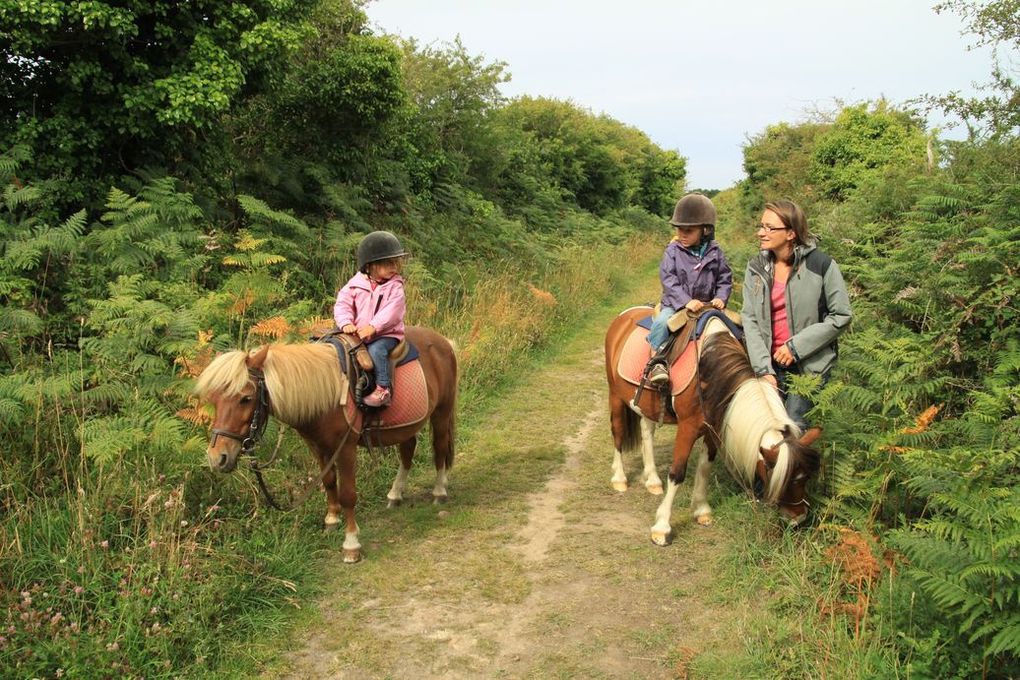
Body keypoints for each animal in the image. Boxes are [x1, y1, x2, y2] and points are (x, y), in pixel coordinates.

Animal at [194, 326, 459, 562]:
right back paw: (395, 494)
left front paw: (351, 544)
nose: (217, 457)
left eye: (245, 398)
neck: (327, 395)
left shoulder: (346, 449)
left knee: (440, 448)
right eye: (214, 399)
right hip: (406, 426)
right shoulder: (318, 447)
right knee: (408, 450)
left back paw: (440, 491)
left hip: (442, 412)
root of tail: (443, 342)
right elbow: (329, 481)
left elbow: (348, 494)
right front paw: (331, 520)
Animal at [603, 305, 820, 546]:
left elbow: (704, 468)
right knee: (618, 433)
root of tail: (625, 315)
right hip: (615, 396)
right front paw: (662, 528)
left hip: (646, 405)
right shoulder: (687, 428)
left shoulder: (712, 429)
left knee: (646, 433)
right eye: (785, 481)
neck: (708, 369)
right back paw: (619, 478)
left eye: (805, 477)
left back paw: (652, 480)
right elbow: (677, 473)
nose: (799, 517)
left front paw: (701, 510)